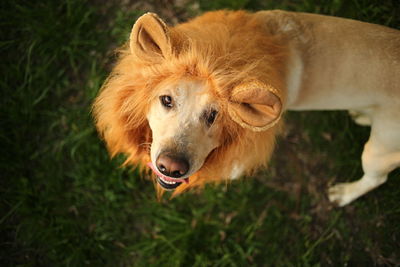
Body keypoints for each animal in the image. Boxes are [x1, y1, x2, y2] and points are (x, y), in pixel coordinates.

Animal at [92, 10, 398, 207]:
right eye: (166, 100)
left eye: (215, 115)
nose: (171, 167)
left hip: (379, 150)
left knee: (377, 179)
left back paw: (344, 194)